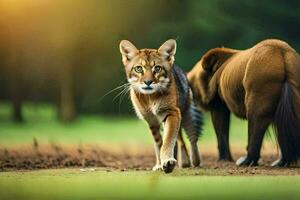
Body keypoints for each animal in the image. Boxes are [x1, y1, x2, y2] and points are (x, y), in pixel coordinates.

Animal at [118, 39, 203, 173]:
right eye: (138, 69)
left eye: (157, 68)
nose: (148, 82)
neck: (150, 98)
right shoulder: (152, 121)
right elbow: (159, 143)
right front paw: (160, 164)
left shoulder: (172, 112)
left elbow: (168, 139)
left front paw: (167, 161)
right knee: (180, 139)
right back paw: (183, 161)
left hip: (187, 113)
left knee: (192, 137)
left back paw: (194, 161)